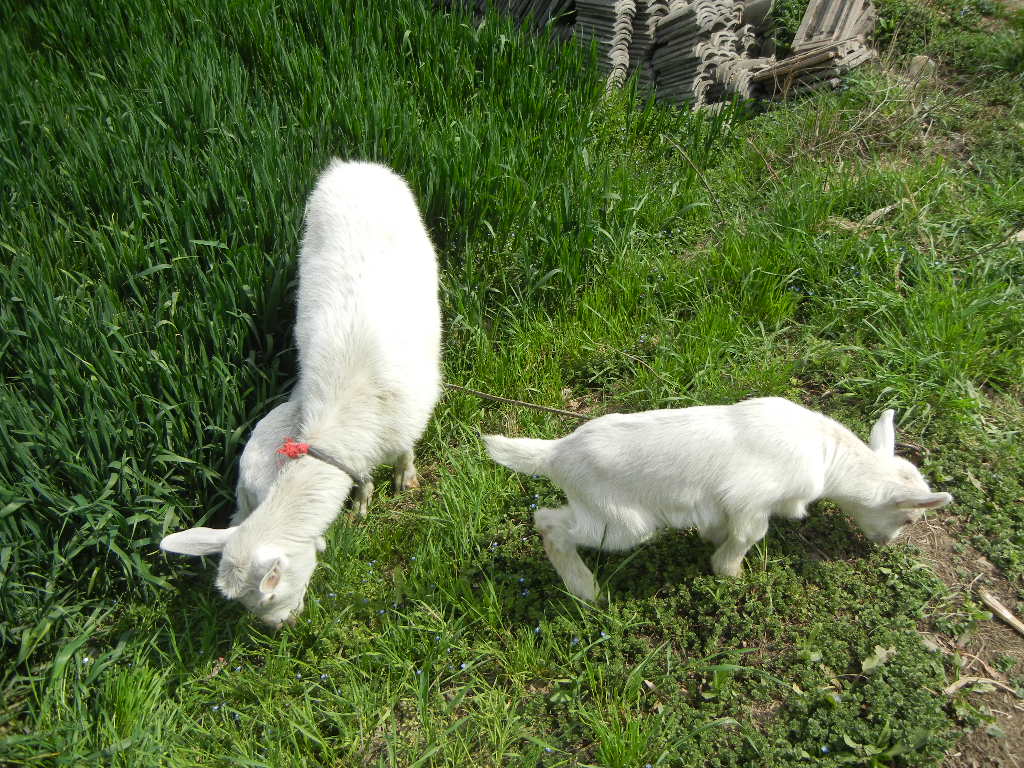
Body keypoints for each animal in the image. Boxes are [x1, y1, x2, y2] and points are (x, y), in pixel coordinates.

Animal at [159, 160, 442, 628]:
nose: (284, 628)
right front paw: (362, 502)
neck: (342, 418)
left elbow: (405, 453)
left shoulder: (406, 419)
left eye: (270, 595)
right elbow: (362, 480)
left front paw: (405, 479)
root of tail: (352, 166)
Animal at [484, 397, 952, 601]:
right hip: (619, 522)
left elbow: (716, 524)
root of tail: (556, 454)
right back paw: (586, 590)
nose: (884, 545)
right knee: (548, 524)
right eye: (909, 520)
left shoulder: (722, 501)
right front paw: (729, 572)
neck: (826, 454)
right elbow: (749, 535)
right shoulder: (752, 499)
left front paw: (711, 542)